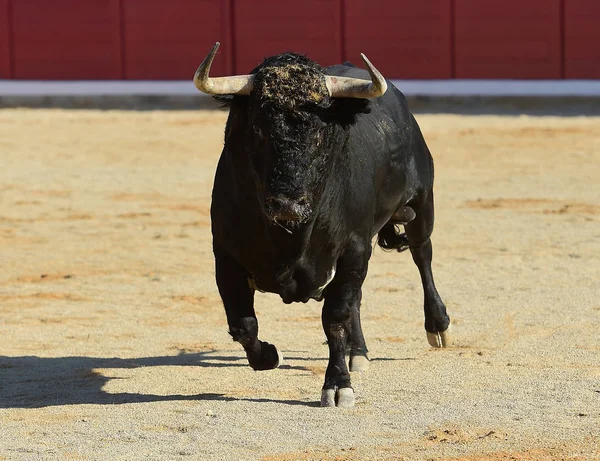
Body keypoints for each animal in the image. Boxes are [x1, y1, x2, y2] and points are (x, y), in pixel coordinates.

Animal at [192, 42, 450, 406]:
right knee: (358, 297)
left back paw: (437, 326)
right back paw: (359, 352)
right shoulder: (225, 256)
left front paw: (338, 384)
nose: (288, 204)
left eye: (320, 130)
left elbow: (334, 318)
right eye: (258, 128)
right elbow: (243, 324)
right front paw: (270, 355)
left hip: (421, 202)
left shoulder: (353, 248)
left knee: (421, 254)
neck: (290, 241)